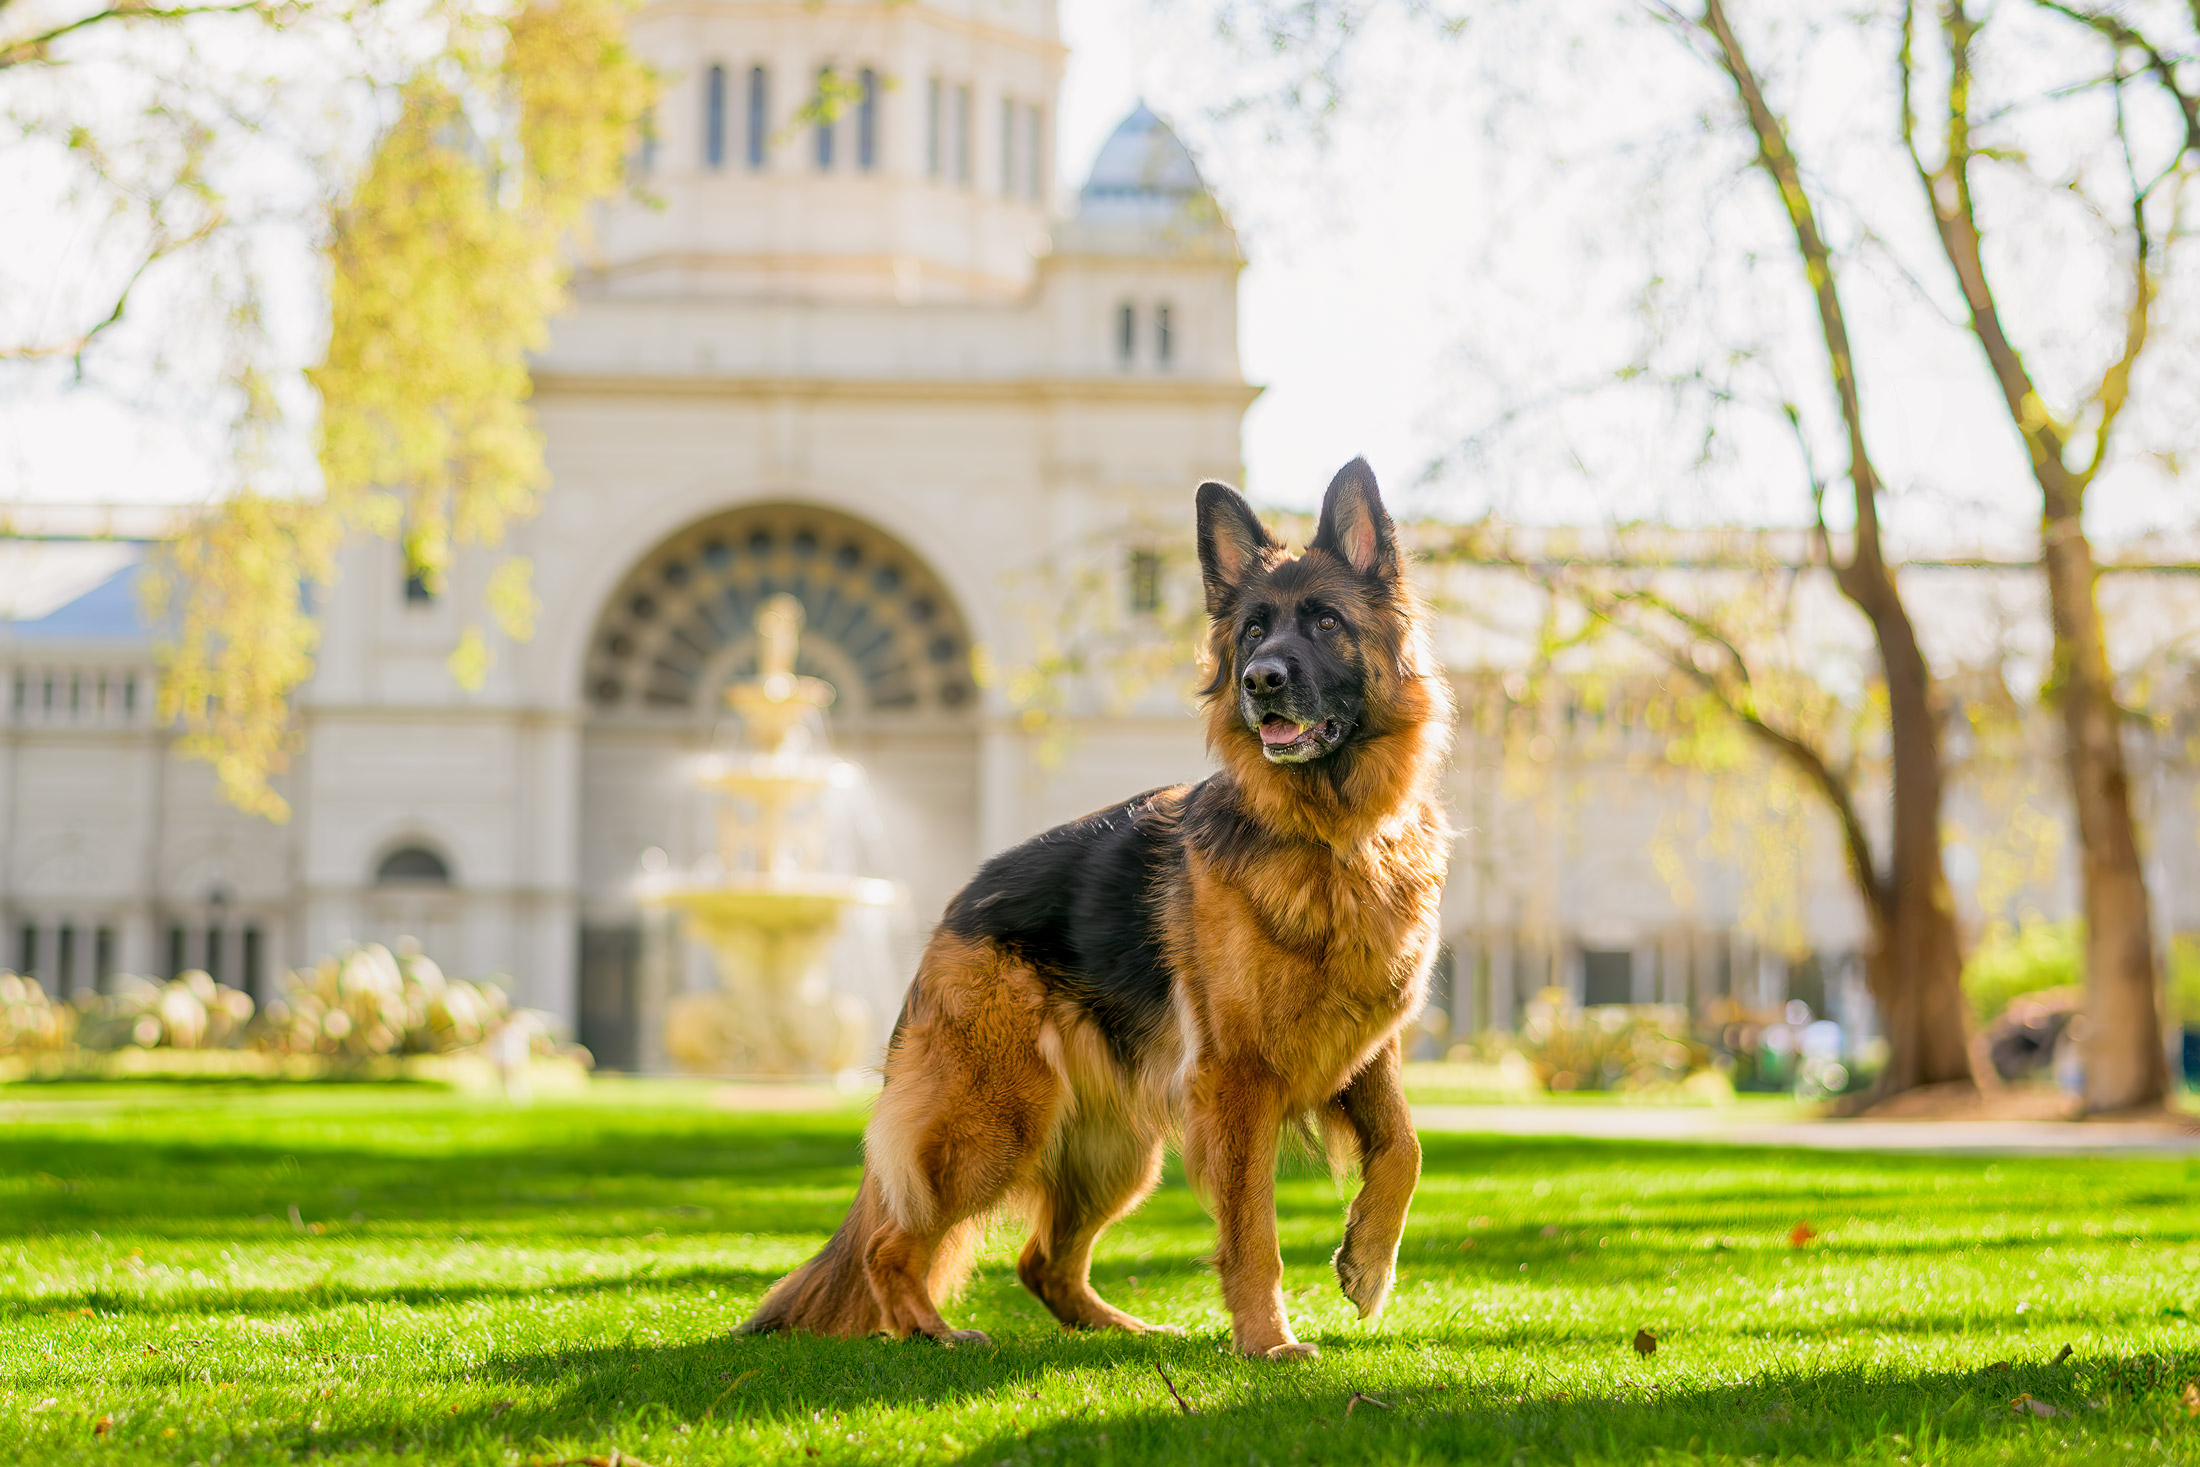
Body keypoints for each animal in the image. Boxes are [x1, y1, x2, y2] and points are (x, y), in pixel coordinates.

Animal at [748, 461, 1452, 1363]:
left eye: (1326, 620)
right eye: (1253, 630)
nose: (1260, 679)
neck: (1334, 837)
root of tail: (954, 912)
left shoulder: (1365, 1045)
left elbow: (1405, 1146)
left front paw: (1367, 1261)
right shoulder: (1238, 1083)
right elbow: (1253, 1232)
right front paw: (1267, 1341)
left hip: (1117, 1153)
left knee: (1042, 1261)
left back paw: (1128, 1329)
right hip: (994, 1124)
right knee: (892, 1242)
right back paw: (934, 1330)